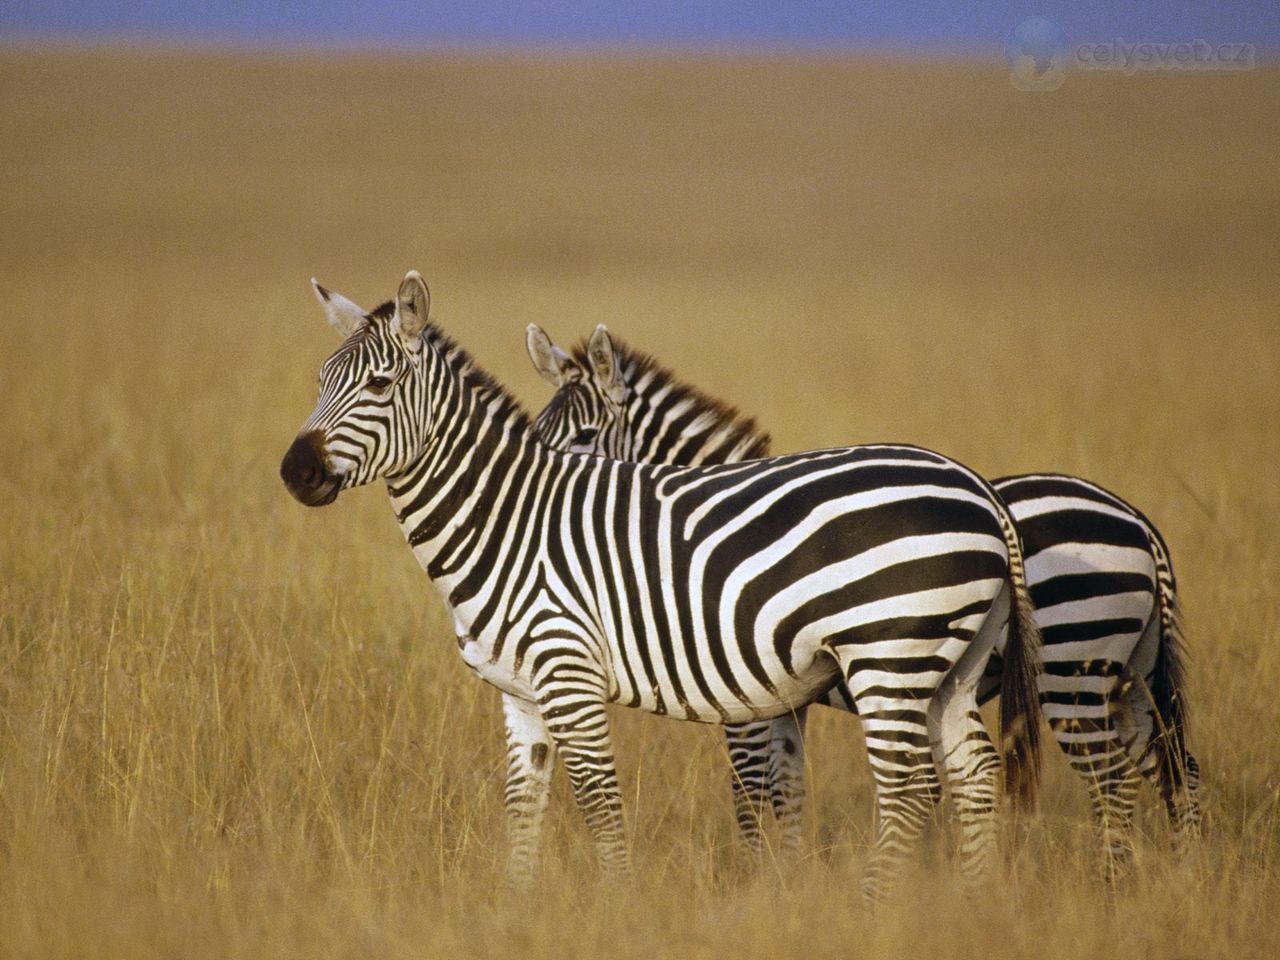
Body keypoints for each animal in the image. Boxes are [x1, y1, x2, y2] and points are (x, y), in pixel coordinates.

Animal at [522, 323, 1198, 880]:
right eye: (536, 434)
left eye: (585, 437)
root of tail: (1139, 524)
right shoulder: (784, 701)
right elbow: (788, 789)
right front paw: (789, 881)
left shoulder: (744, 702)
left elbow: (750, 792)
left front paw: (754, 882)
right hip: (1129, 676)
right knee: (1174, 769)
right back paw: (1176, 883)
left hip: (1070, 670)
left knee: (1113, 781)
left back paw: (1111, 887)